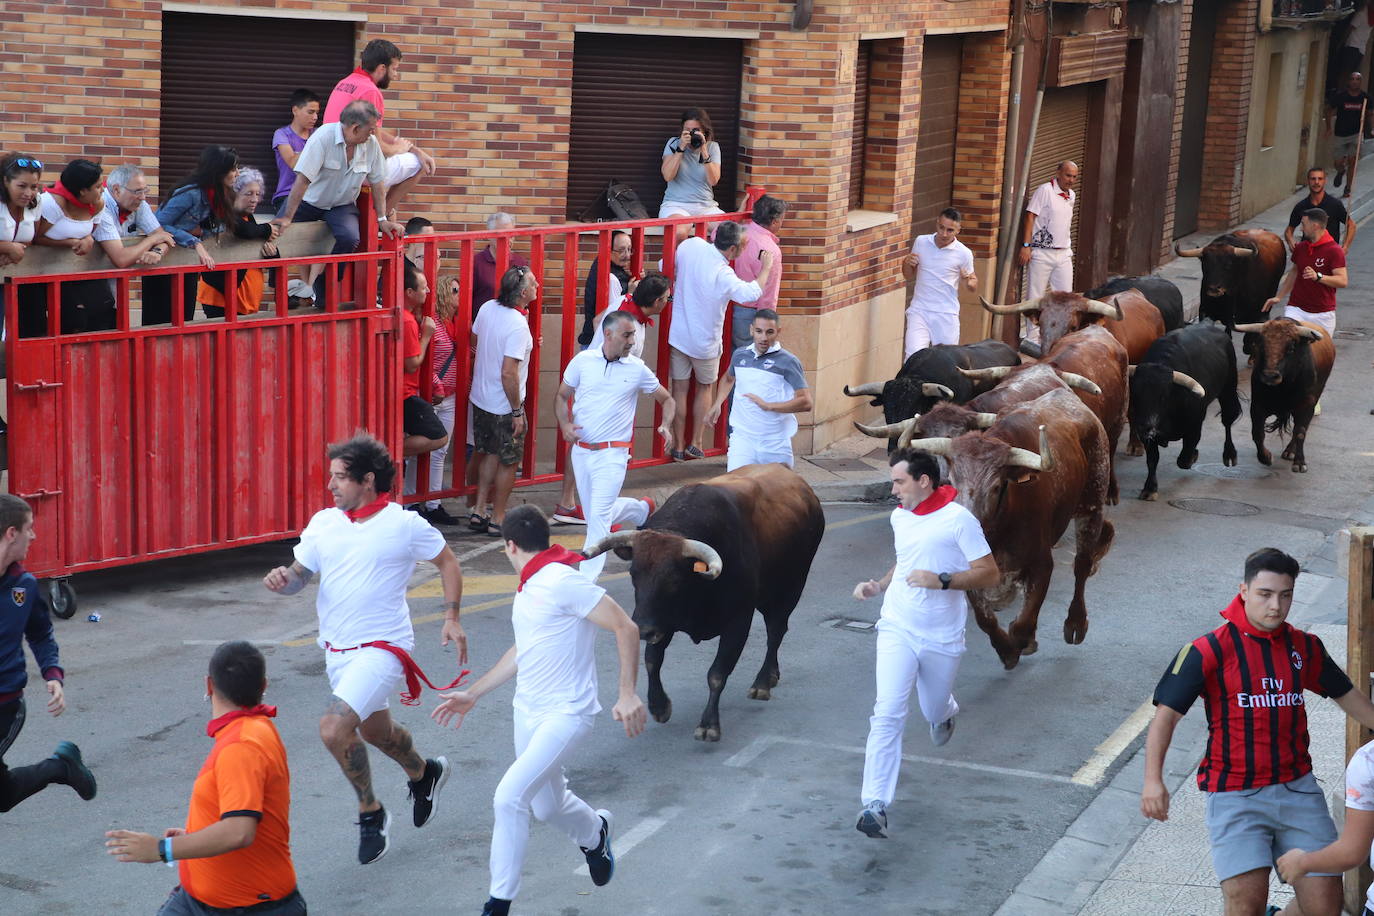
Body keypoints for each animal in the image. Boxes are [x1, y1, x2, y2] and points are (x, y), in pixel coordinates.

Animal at [579, 466, 824, 747]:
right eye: (633, 574)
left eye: (673, 579)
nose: (641, 629)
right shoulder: (663, 621)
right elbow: (652, 660)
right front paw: (659, 706)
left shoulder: (738, 621)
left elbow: (717, 674)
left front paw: (709, 725)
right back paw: (772, 676)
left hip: (791, 587)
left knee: (776, 632)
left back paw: (763, 682)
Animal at [906, 387, 1110, 667]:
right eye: (952, 481)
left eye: (995, 487)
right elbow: (985, 618)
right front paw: (1005, 648)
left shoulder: (1041, 563)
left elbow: (1024, 622)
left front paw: (1019, 643)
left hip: (1092, 503)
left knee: (1082, 564)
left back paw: (1076, 623)